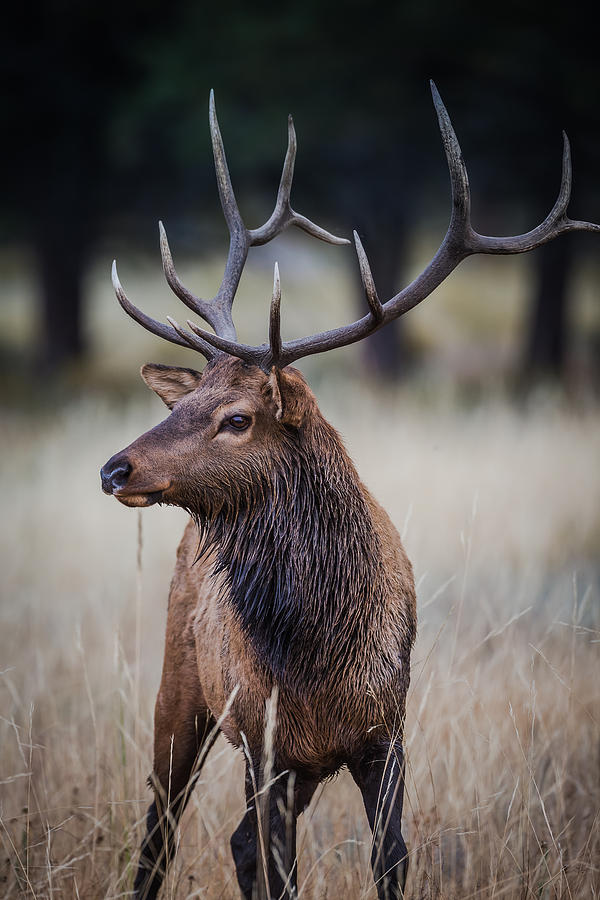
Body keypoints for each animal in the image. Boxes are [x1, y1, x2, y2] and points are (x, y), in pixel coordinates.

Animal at [101, 81, 596, 896]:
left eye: (236, 418)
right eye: (186, 401)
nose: (115, 468)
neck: (321, 655)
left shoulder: (385, 734)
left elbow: (389, 859)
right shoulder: (265, 744)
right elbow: (279, 869)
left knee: (232, 842)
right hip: (182, 691)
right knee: (162, 834)